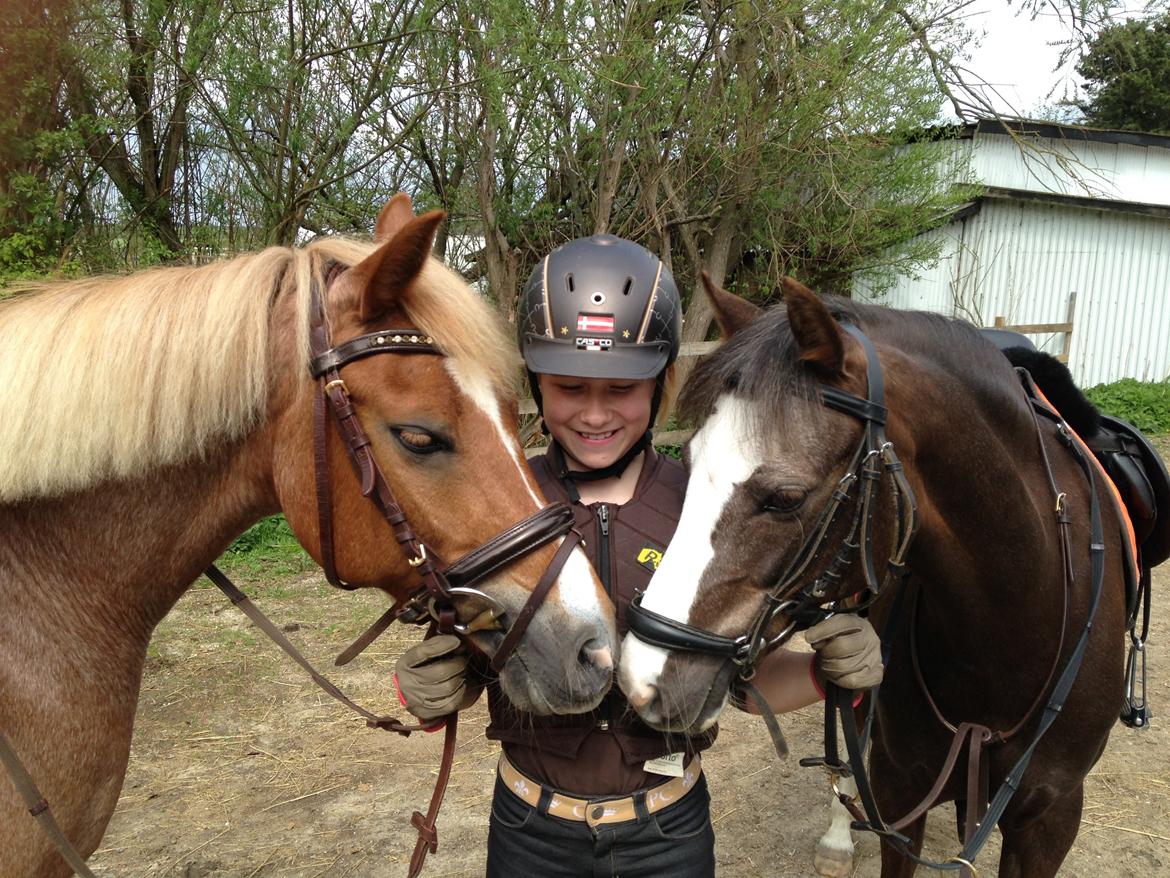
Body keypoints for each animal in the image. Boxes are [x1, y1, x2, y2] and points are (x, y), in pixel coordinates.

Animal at [618, 277, 1129, 877]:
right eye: (690, 463)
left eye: (785, 498)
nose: (641, 676)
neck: (1015, 625)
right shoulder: (901, 788)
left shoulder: (1052, 816)